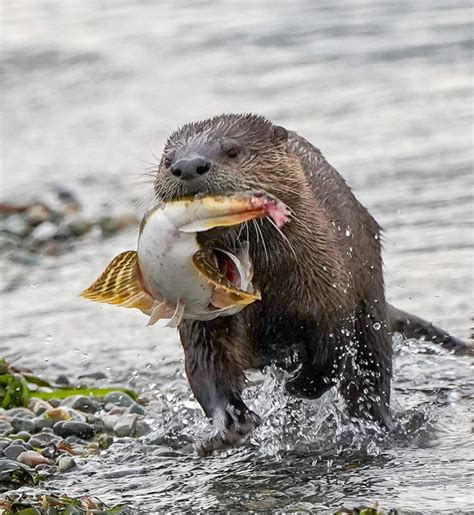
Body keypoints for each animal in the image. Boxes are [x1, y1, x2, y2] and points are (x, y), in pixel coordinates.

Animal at [153, 114, 470, 456]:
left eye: (233, 151)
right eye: (168, 161)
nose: (187, 165)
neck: (269, 292)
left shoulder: (330, 291)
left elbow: (331, 354)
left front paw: (300, 386)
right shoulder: (201, 320)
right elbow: (206, 367)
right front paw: (227, 426)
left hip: (372, 308)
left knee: (373, 377)